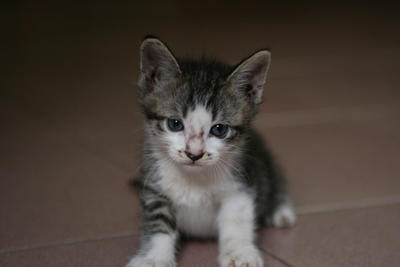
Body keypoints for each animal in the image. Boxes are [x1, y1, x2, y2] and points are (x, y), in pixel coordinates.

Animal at [126, 36, 296, 267]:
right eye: (175, 124)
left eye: (219, 129)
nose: (194, 154)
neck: (194, 178)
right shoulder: (155, 186)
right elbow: (158, 223)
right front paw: (154, 258)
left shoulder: (241, 181)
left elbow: (237, 217)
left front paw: (238, 252)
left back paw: (281, 210)